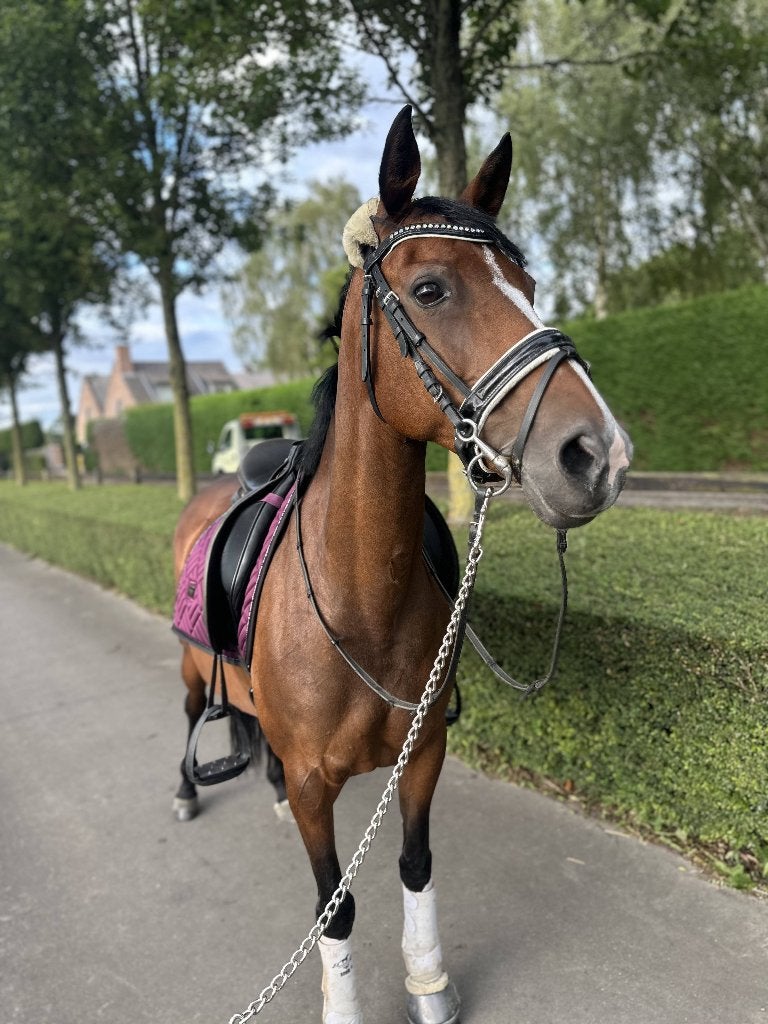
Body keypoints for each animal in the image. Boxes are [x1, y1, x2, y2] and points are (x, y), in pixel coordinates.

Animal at [171, 105, 632, 1024]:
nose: (595, 453)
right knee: (196, 711)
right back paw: (187, 790)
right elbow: (334, 905)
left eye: (528, 284)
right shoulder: (318, 787)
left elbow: (415, 867)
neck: (360, 604)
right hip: (192, 668)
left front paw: (429, 986)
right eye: (429, 291)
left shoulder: (422, 760)